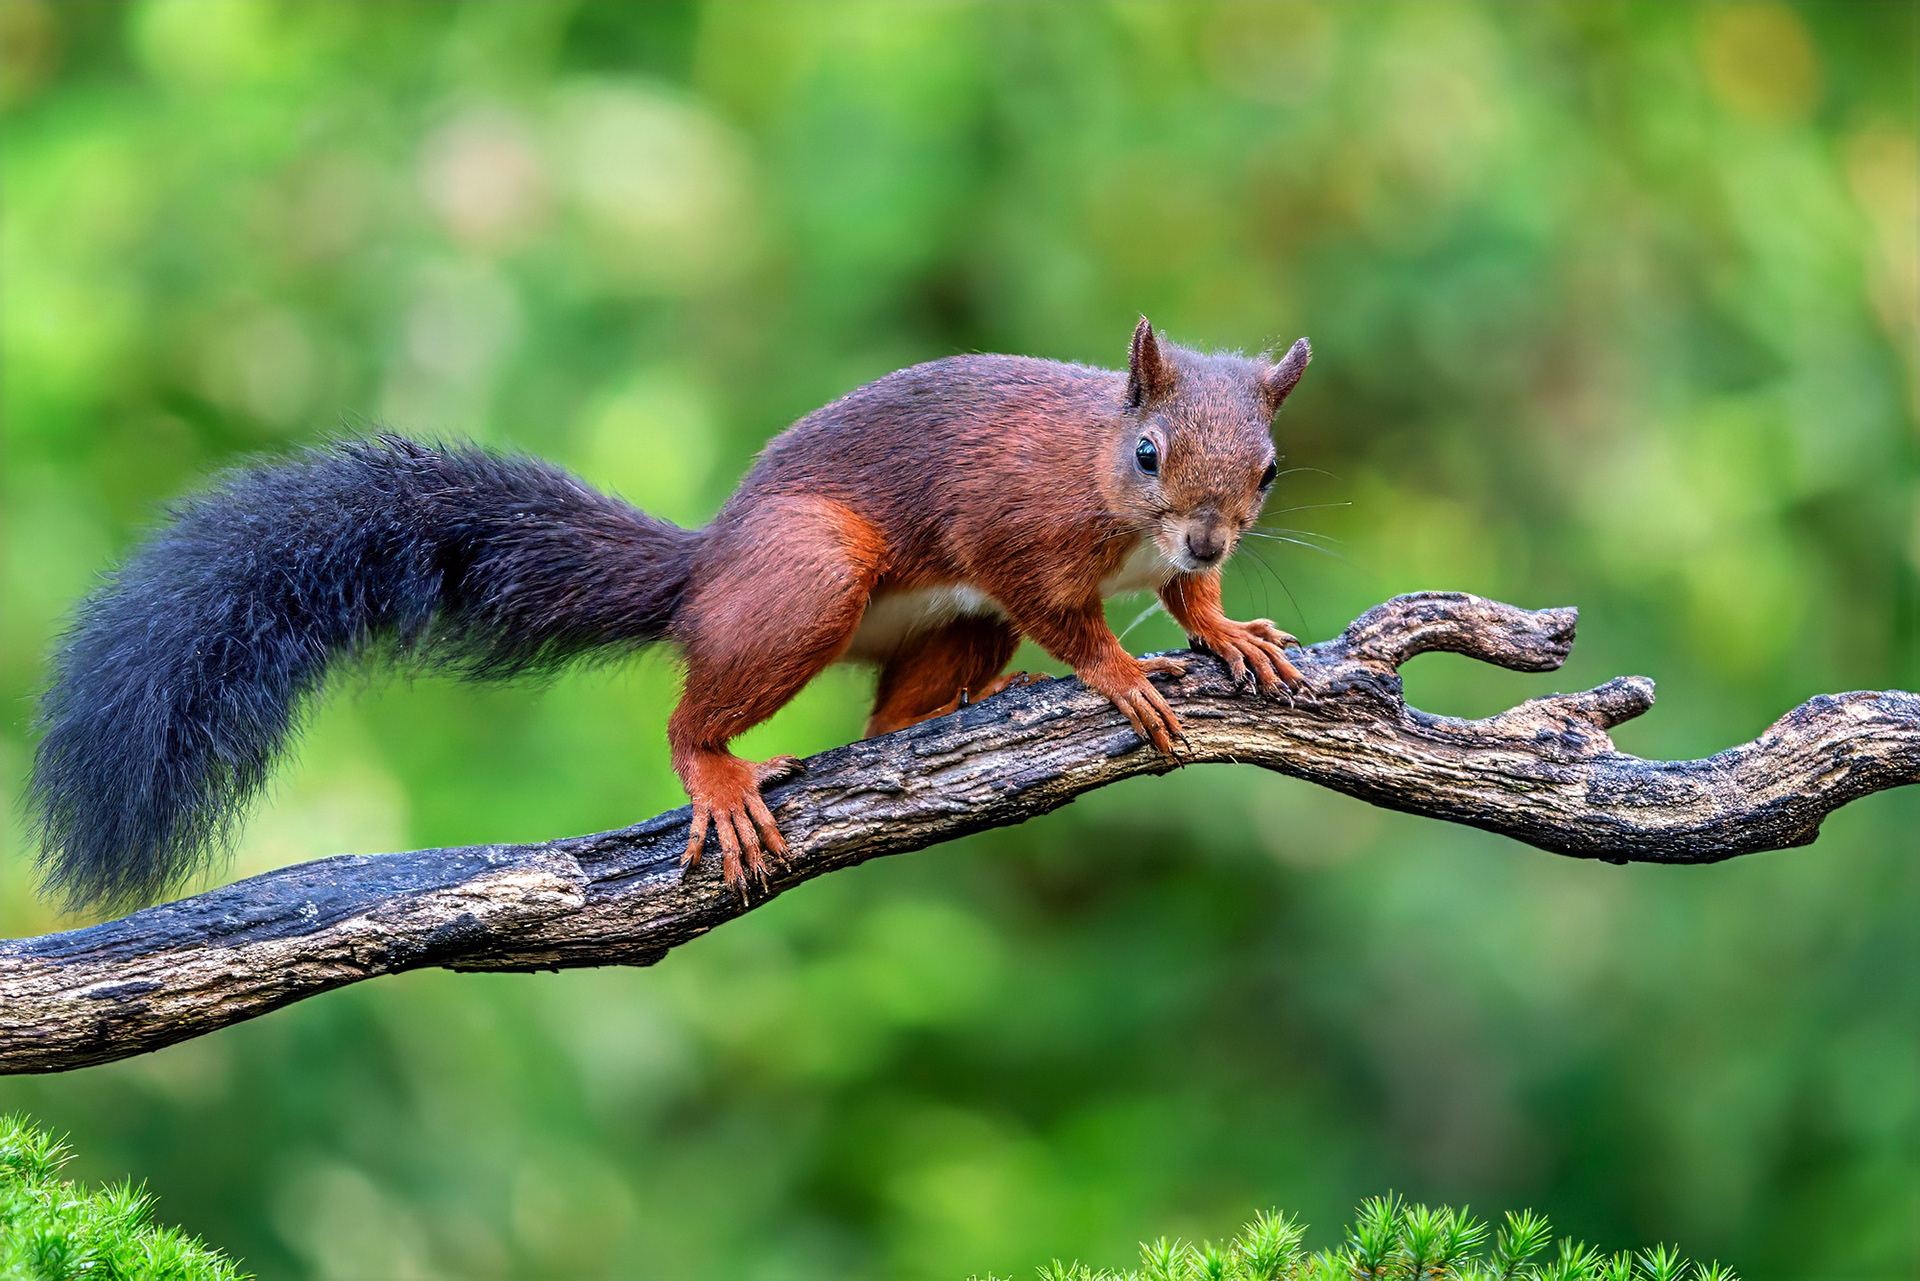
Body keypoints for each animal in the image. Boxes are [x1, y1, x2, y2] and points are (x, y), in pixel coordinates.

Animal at [28, 318, 1311, 909]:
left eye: (1269, 471)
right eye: (1149, 455)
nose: (1208, 534)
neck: (1098, 472)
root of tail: (705, 574)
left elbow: (1185, 600)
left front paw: (1226, 629)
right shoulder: (1013, 529)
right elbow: (1069, 612)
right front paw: (1120, 673)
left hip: (937, 623)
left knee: (889, 720)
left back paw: (976, 701)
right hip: (807, 584)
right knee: (699, 718)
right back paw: (722, 773)